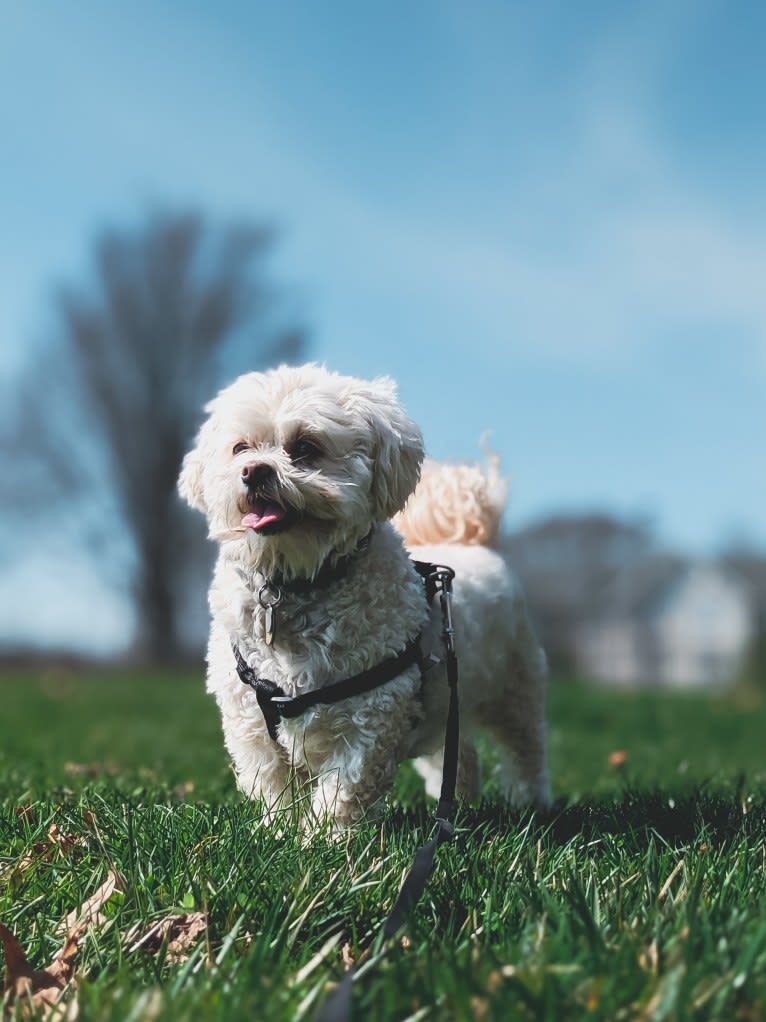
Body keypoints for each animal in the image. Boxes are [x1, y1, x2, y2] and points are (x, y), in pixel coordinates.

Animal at [179, 363, 551, 825]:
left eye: (305, 447)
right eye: (240, 448)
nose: (254, 471)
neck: (297, 581)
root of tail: (472, 541)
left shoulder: (371, 717)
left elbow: (344, 789)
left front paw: (322, 837)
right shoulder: (251, 723)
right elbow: (273, 786)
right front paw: (278, 831)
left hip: (516, 688)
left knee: (525, 749)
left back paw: (530, 803)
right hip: (444, 703)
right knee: (457, 755)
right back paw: (456, 803)